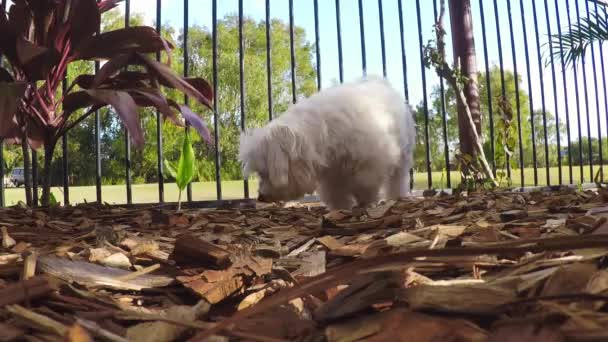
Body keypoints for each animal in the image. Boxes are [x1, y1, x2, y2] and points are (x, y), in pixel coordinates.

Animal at [240, 76, 416, 210]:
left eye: (265, 172)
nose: (261, 197)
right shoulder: (332, 174)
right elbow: (335, 193)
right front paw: (340, 208)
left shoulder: (372, 162)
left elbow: (365, 185)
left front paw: (366, 203)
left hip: (403, 156)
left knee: (398, 179)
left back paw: (397, 196)